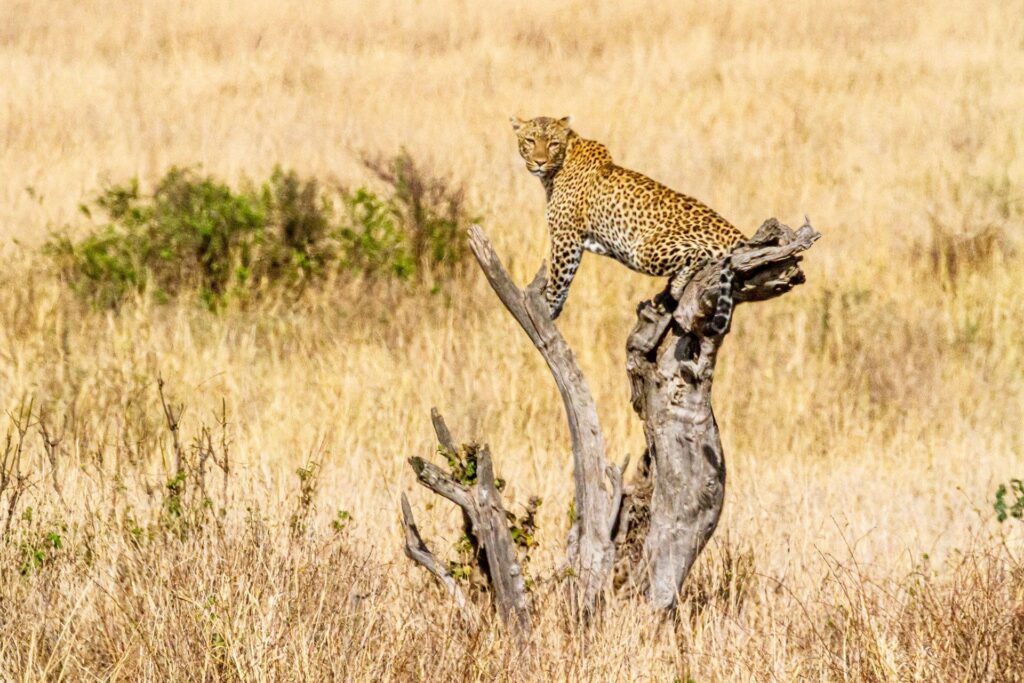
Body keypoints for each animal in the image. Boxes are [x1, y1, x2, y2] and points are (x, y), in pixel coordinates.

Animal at [511, 115, 745, 327]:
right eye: (530, 141)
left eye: (553, 143)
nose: (540, 161)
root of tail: (737, 234)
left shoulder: (566, 237)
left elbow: (559, 278)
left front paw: (548, 309)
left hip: (643, 251)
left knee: (699, 255)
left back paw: (676, 287)